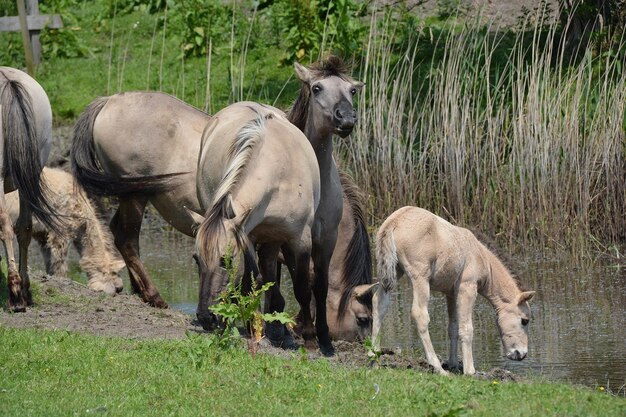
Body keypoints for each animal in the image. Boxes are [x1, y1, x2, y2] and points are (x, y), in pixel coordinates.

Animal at [368, 206, 532, 376]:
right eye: (525, 320)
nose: (521, 354)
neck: (480, 256)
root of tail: (393, 222)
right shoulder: (467, 288)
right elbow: (466, 328)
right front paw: (469, 370)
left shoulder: (451, 294)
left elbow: (453, 327)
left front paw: (453, 364)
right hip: (420, 278)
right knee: (420, 315)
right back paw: (438, 368)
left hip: (393, 273)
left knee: (379, 304)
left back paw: (374, 359)